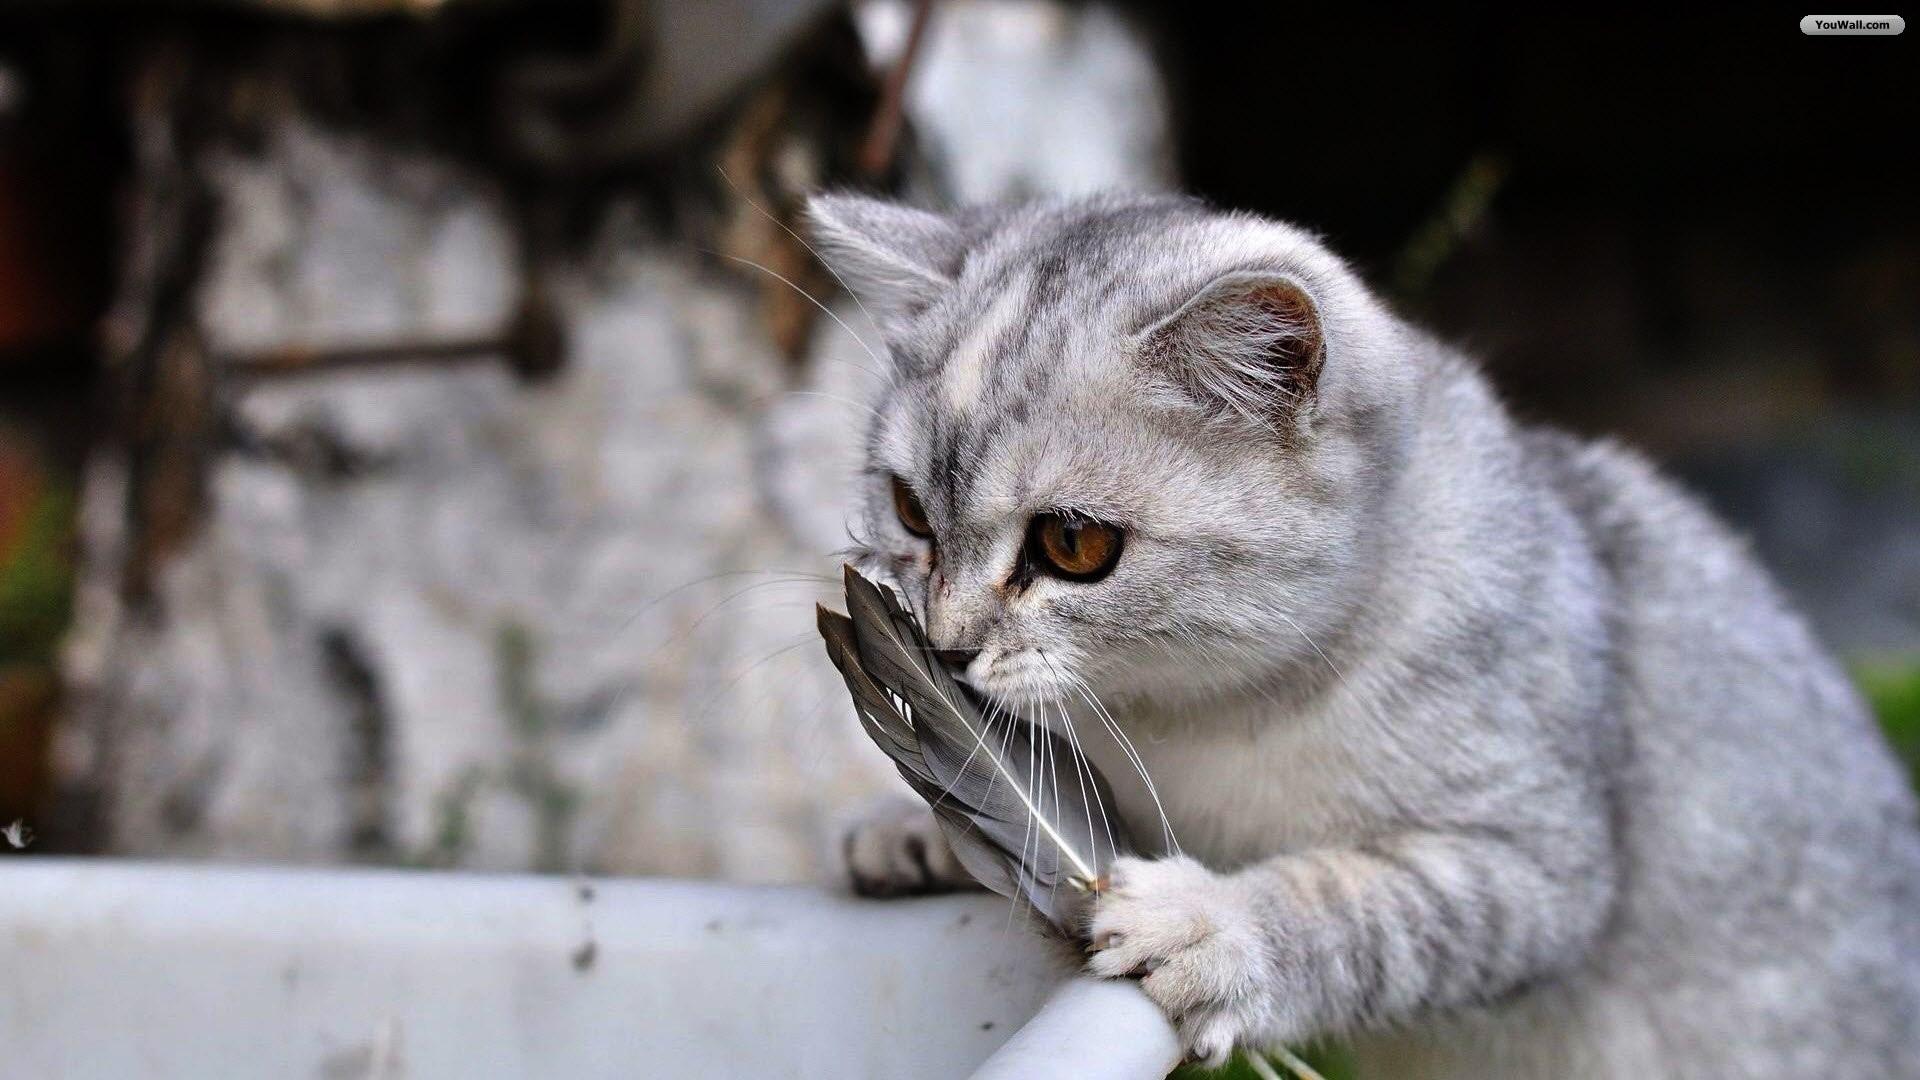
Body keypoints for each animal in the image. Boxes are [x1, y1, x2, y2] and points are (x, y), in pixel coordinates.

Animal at [810, 189, 1920, 1068]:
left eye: (1073, 544)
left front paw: (1217, 928)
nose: (945, 647)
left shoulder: (1534, 862)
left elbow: (1356, 908)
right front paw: (917, 826)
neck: (1185, 724)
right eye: (909, 512)